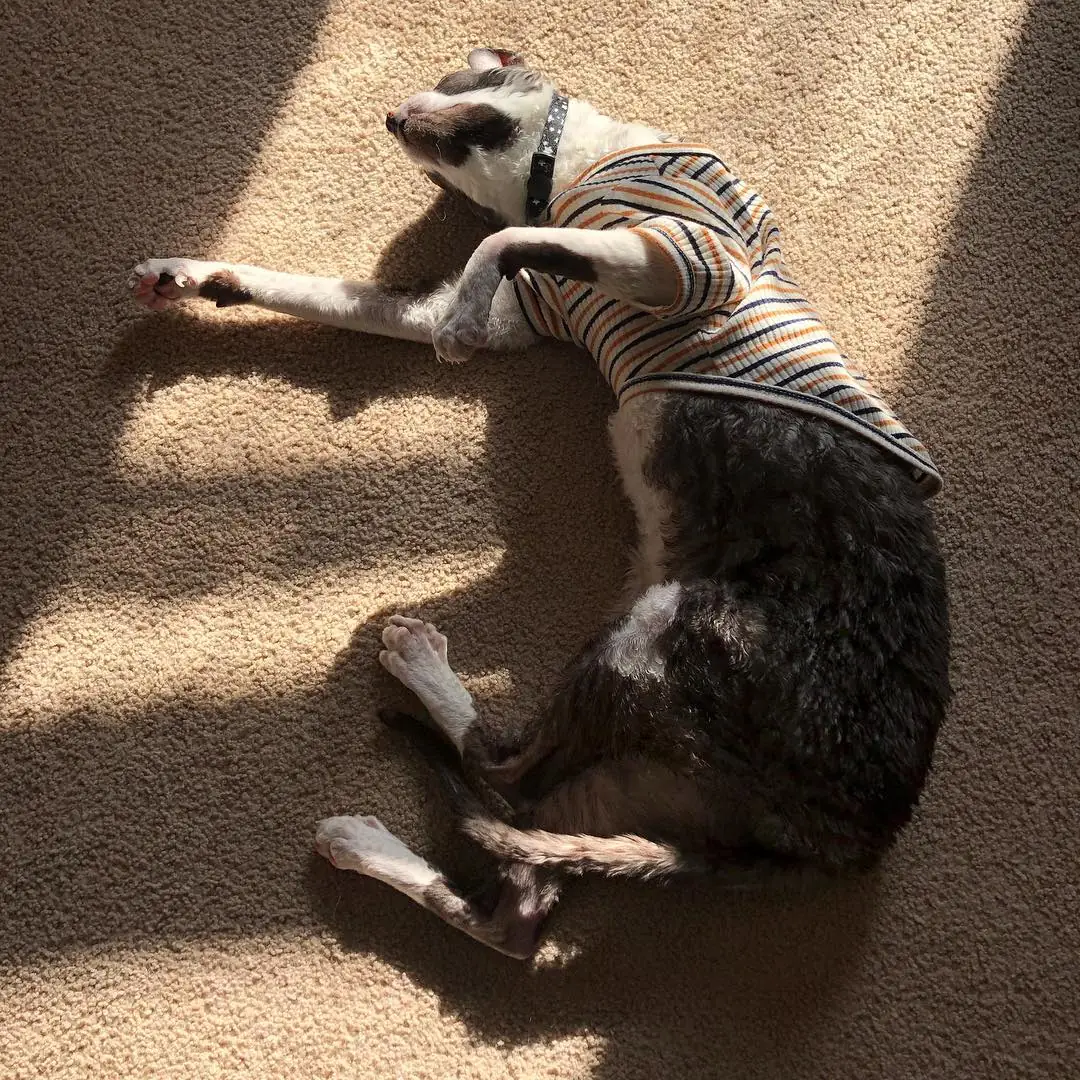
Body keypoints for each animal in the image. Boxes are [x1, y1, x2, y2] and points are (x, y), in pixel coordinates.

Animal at [129, 48, 950, 959]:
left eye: (458, 84)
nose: (392, 116)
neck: (570, 167)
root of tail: (849, 843)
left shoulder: (684, 257)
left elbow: (497, 243)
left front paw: (457, 320)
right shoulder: (535, 303)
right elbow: (331, 287)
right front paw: (188, 276)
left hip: (657, 630)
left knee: (501, 776)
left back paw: (414, 667)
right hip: (630, 769)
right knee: (515, 897)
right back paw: (367, 840)